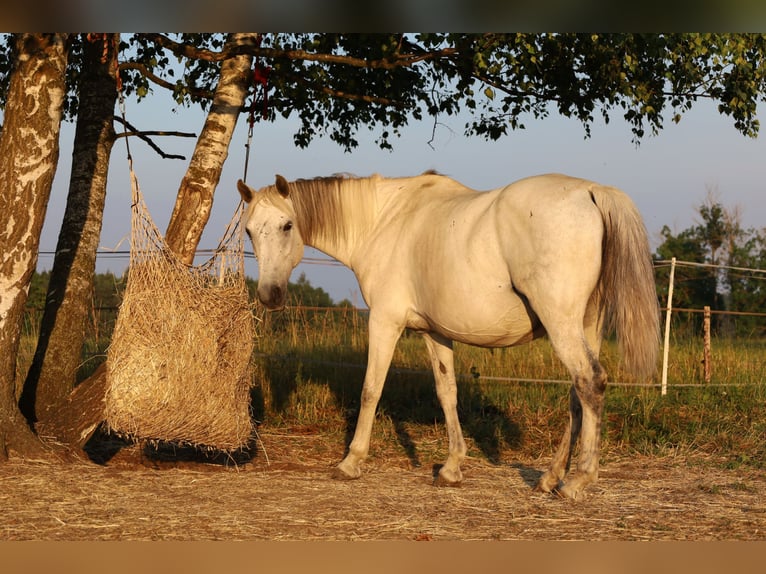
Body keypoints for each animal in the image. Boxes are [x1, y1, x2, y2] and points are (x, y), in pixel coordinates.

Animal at [238, 174, 660, 500]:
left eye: (287, 225)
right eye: (249, 231)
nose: (269, 296)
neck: (386, 220)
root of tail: (591, 190)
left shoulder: (385, 322)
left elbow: (371, 389)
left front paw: (351, 461)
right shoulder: (434, 333)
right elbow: (447, 393)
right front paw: (452, 467)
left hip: (562, 325)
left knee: (590, 382)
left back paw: (577, 482)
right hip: (585, 326)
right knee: (578, 395)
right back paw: (550, 477)